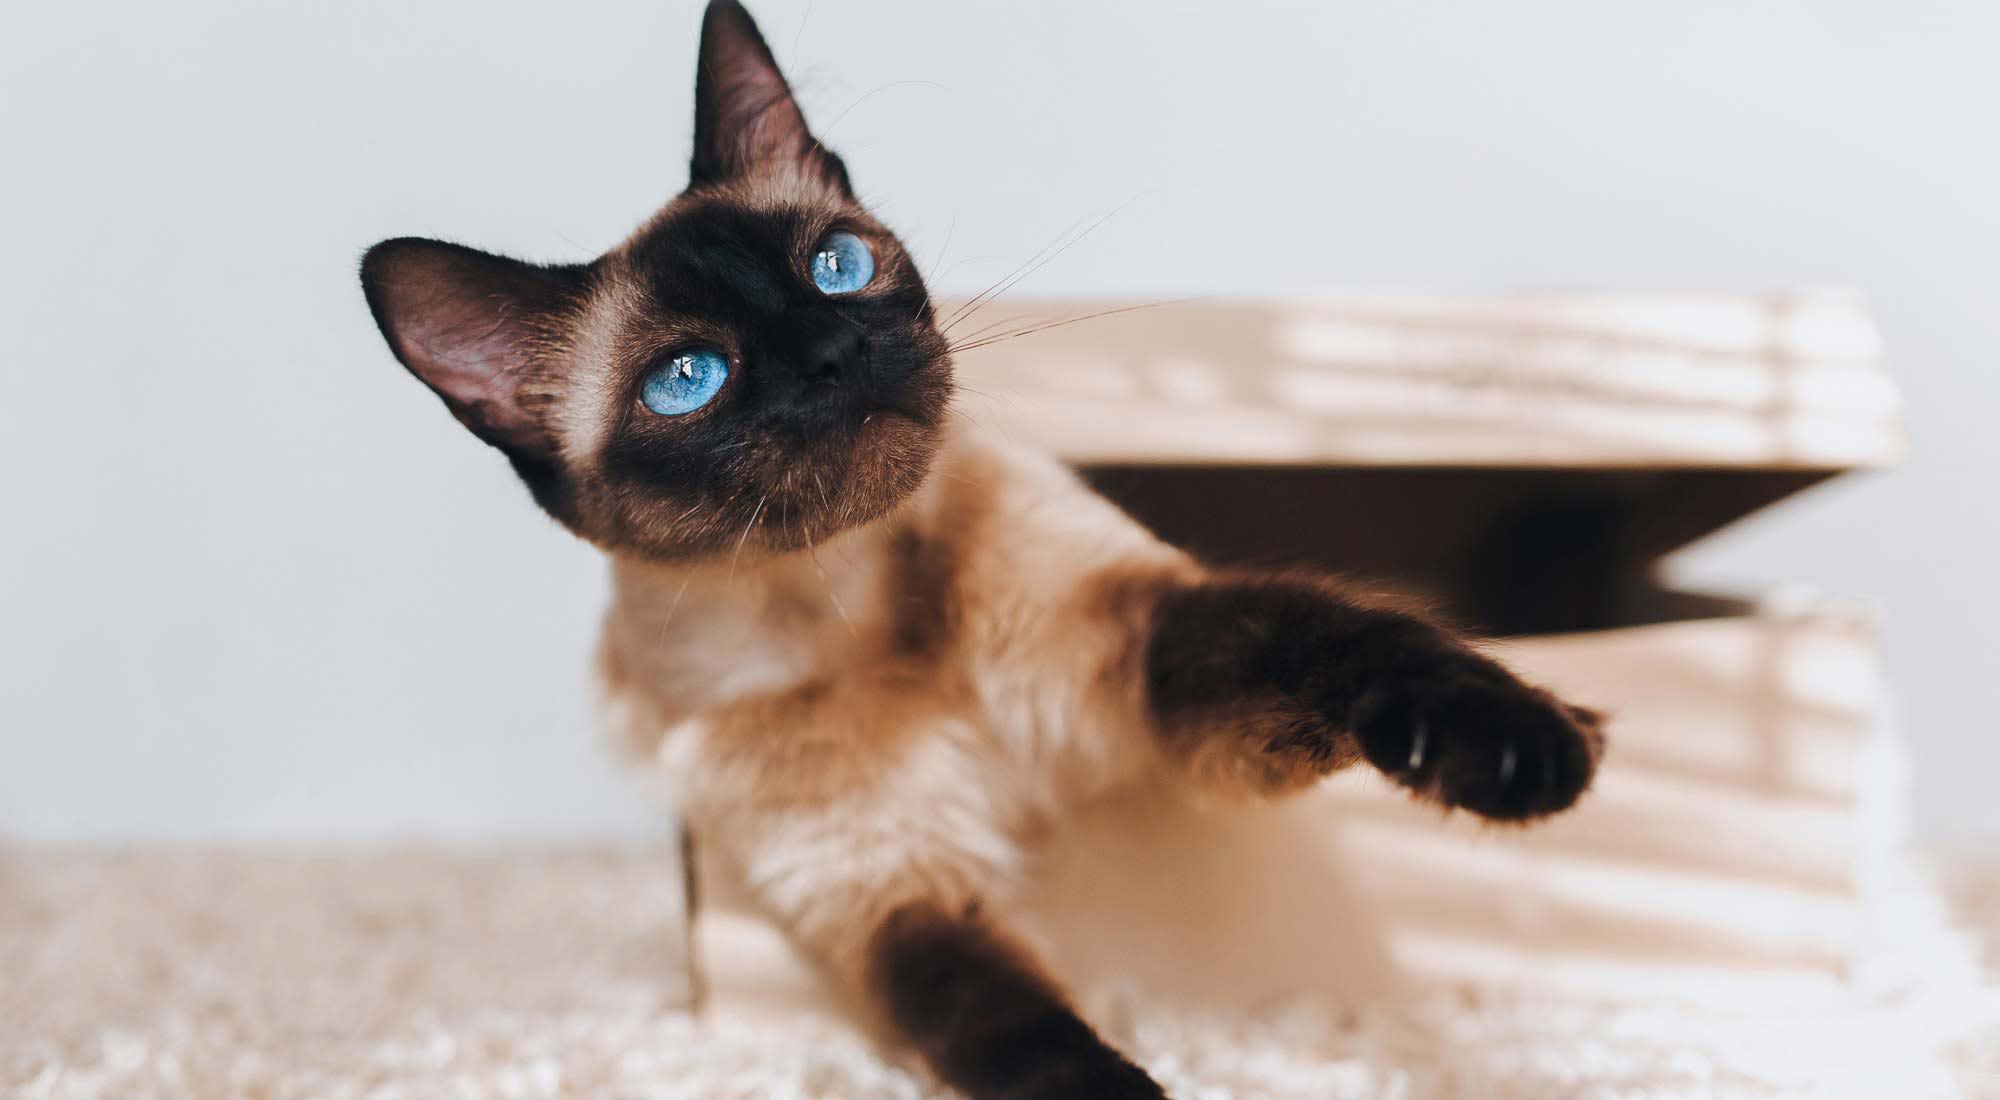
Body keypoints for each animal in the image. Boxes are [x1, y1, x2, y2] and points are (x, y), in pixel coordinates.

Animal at [364, 4, 1608, 1096]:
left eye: (835, 266)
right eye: (687, 378)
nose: (831, 351)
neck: (854, 606)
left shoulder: (1147, 655)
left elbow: (1357, 641)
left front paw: (1523, 751)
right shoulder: (896, 889)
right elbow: (1024, 1042)